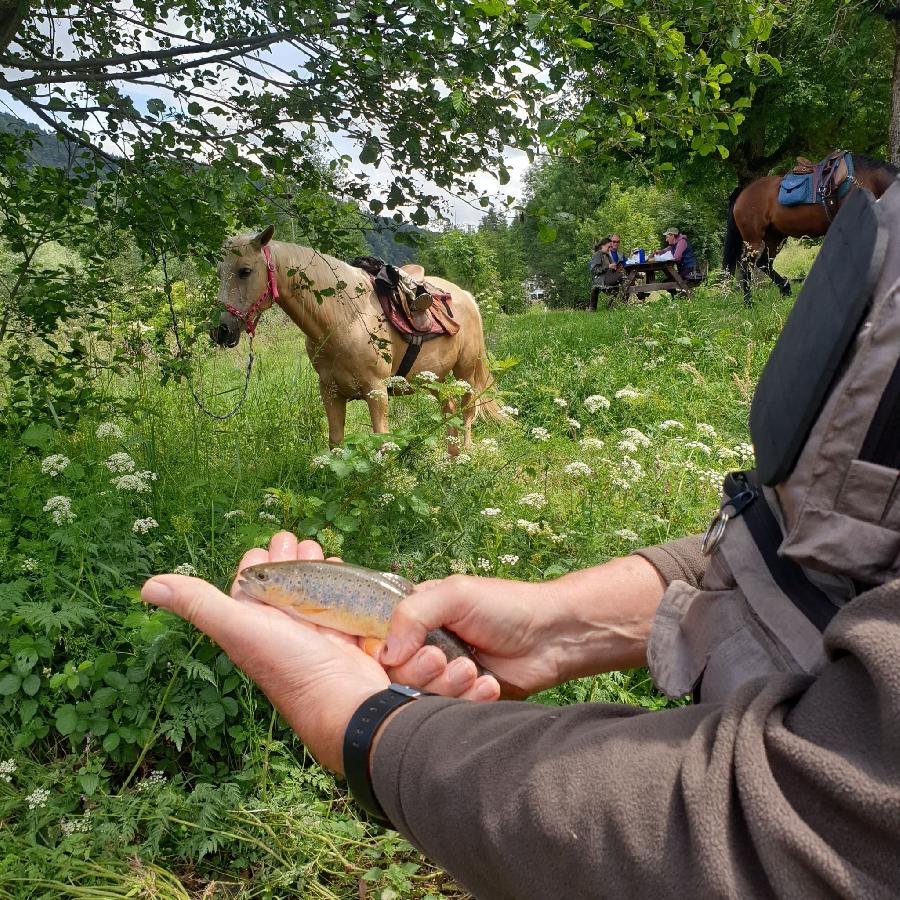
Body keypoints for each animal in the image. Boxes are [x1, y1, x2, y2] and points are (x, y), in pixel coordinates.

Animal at [213, 225, 506, 446]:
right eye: (219, 272)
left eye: (245, 271)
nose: (222, 331)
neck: (345, 320)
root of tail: (466, 296)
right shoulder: (330, 393)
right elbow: (336, 443)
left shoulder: (377, 392)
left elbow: (381, 442)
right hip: (435, 378)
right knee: (450, 409)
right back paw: (450, 456)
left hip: (465, 371)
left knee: (467, 410)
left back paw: (465, 454)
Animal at [724, 156, 900, 306]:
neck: (865, 179)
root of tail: (743, 193)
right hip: (753, 239)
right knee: (746, 265)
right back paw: (749, 303)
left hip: (776, 237)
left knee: (764, 263)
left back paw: (785, 289)